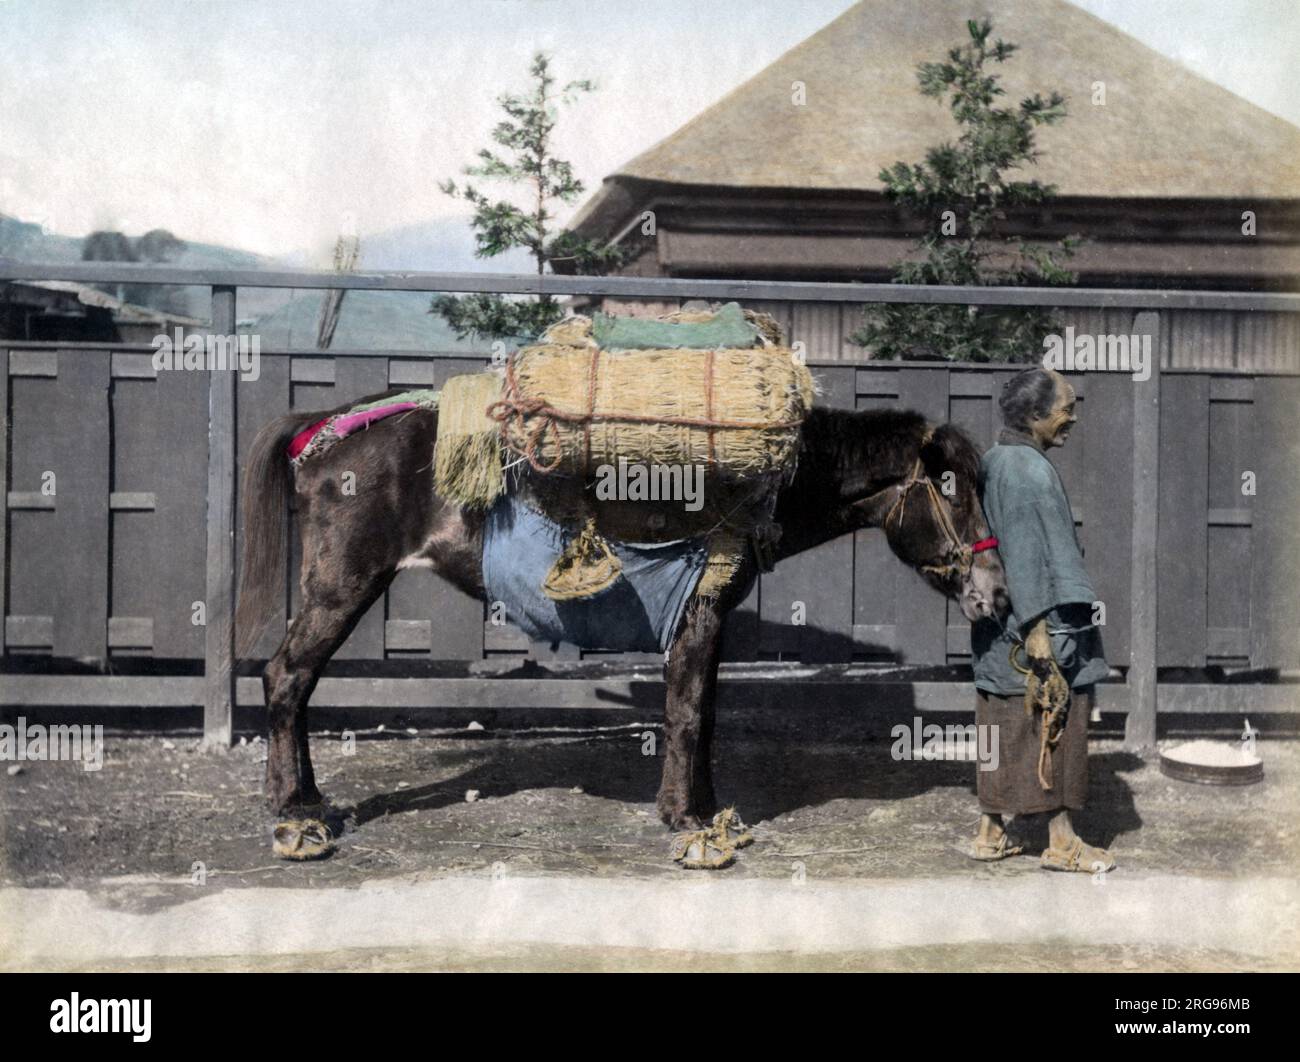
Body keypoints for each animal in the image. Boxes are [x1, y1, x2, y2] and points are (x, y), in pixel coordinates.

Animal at [235, 391, 1009, 849]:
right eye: (950, 487)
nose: (996, 595)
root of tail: (323, 432)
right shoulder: (697, 611)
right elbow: (689, 711)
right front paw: (686, 818)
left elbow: (700, 711)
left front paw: (705, 808)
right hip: (342, 585)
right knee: (287, 677)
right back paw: (296, 808)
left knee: (292, 681)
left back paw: (303, 799)